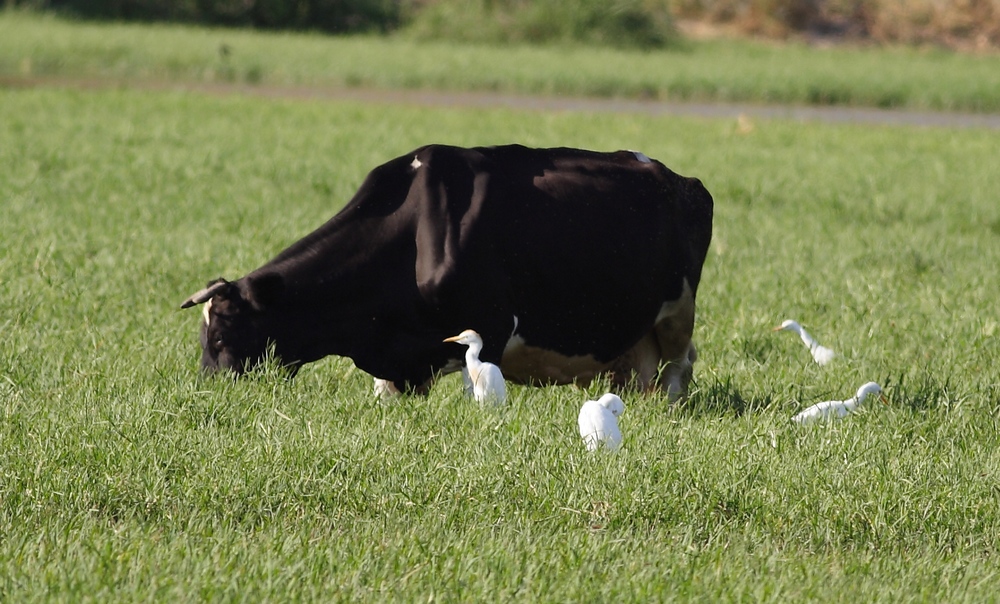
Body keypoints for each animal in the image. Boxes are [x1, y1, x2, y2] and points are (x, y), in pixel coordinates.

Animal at [180, 144, 712, 398]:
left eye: (221, 337)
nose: (206, 392)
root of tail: (680, 179)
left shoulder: (490, 328)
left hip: (678, 313)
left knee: (678, 367)